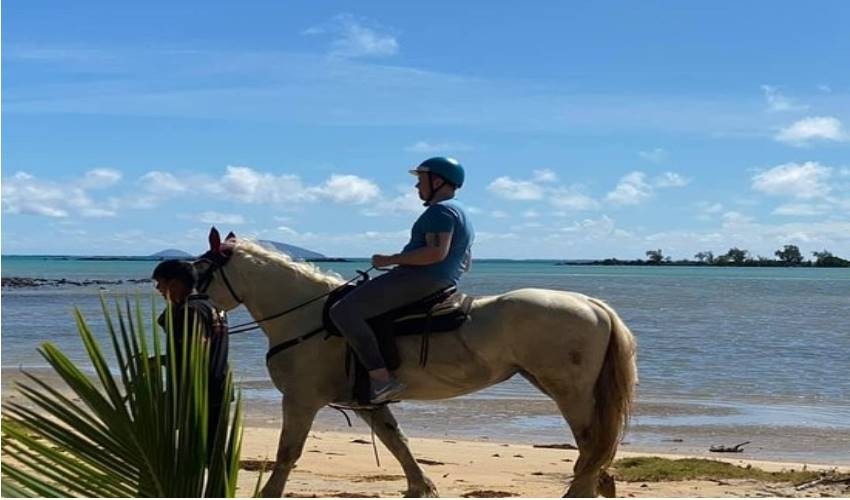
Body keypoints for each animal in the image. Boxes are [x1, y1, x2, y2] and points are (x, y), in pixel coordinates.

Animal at [194, 228, 637, 498]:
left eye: (202, 272)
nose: (190, 311)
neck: (309, 316)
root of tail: (592, 303)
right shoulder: (368, 403)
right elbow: (398, 443)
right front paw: (421, 485)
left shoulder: (301, 400)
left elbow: (288, 452)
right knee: (594, 448)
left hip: (569, 392)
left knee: (591, 445)